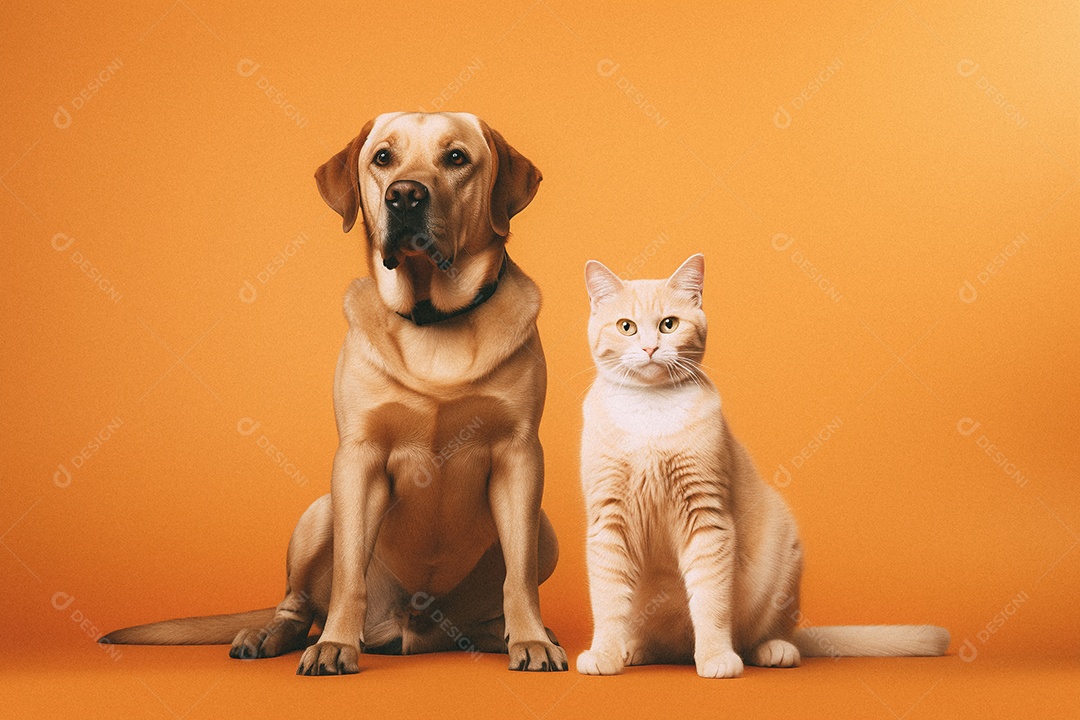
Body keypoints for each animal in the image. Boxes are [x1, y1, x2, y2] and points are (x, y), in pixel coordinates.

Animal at [104, 112, 570, 677]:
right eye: (384, 158)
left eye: (456, 157)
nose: (405, 196)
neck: (434, 321)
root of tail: (414, 630)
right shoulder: (357, 460)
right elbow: (350, 574)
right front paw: (335, 645)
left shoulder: (519, 456)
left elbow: (517, 575)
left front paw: (531, 638)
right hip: (318, 514)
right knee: (296, 605)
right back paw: (268, 636)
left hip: (546, 532)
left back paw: (504, 634)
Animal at [574, 255, 946, 677]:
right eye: (627, 327)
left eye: (669, 324)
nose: (651, 347)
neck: (650, 416)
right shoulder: (609, 519)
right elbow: (608, 602)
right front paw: (605, 653)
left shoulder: (707, 516)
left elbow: (711, 603)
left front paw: (717, 658)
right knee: (655, 644)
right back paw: (633, 649)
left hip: (786, 561)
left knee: (763, 636)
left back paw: (773, 650)